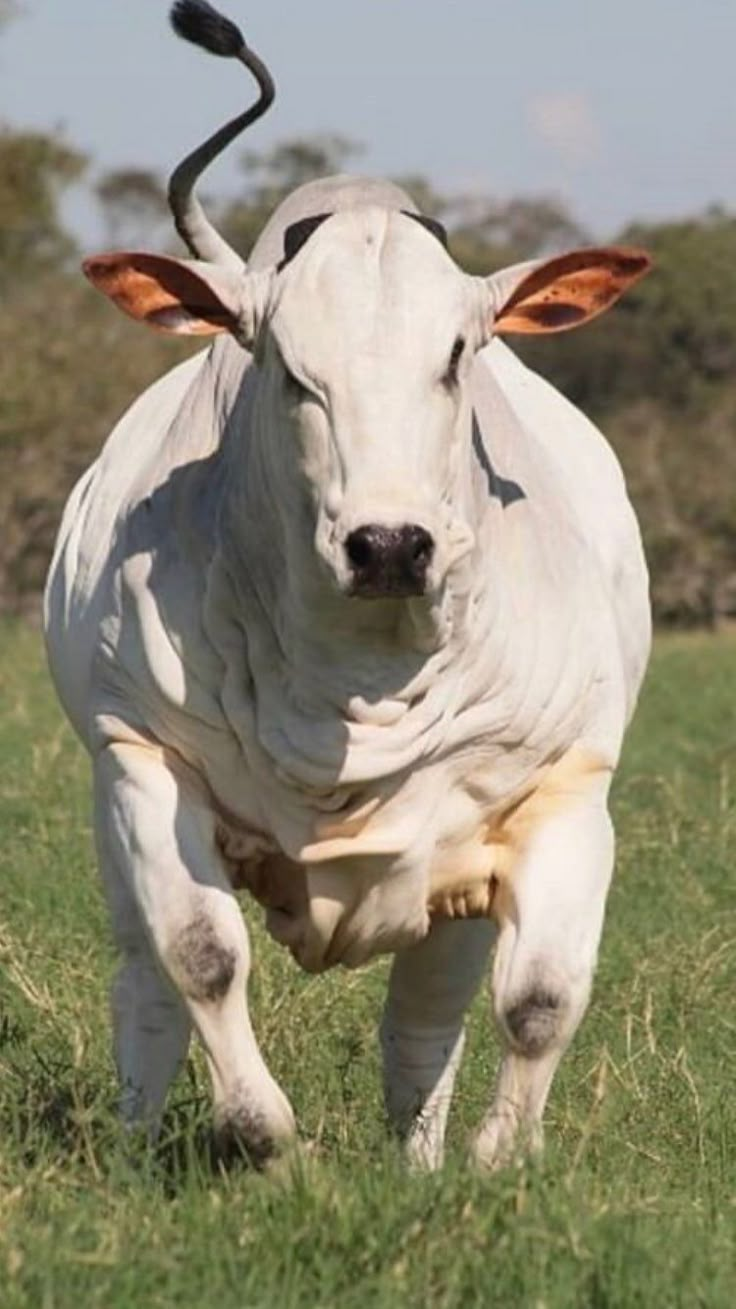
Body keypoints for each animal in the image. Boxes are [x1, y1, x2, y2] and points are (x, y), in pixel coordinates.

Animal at [44, 0, 651, 1171]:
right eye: (289, 367)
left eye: (458, 355)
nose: (389, 544)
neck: (357, 675)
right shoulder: (141, 758)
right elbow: (201, 957)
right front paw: (265, 1140)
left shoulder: (564, 788)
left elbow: (539, 1001)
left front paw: (496, 1168)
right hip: (110, 808)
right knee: (143, 981)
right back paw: (137, 1143)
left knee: (427, 1017)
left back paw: (418, 1160)